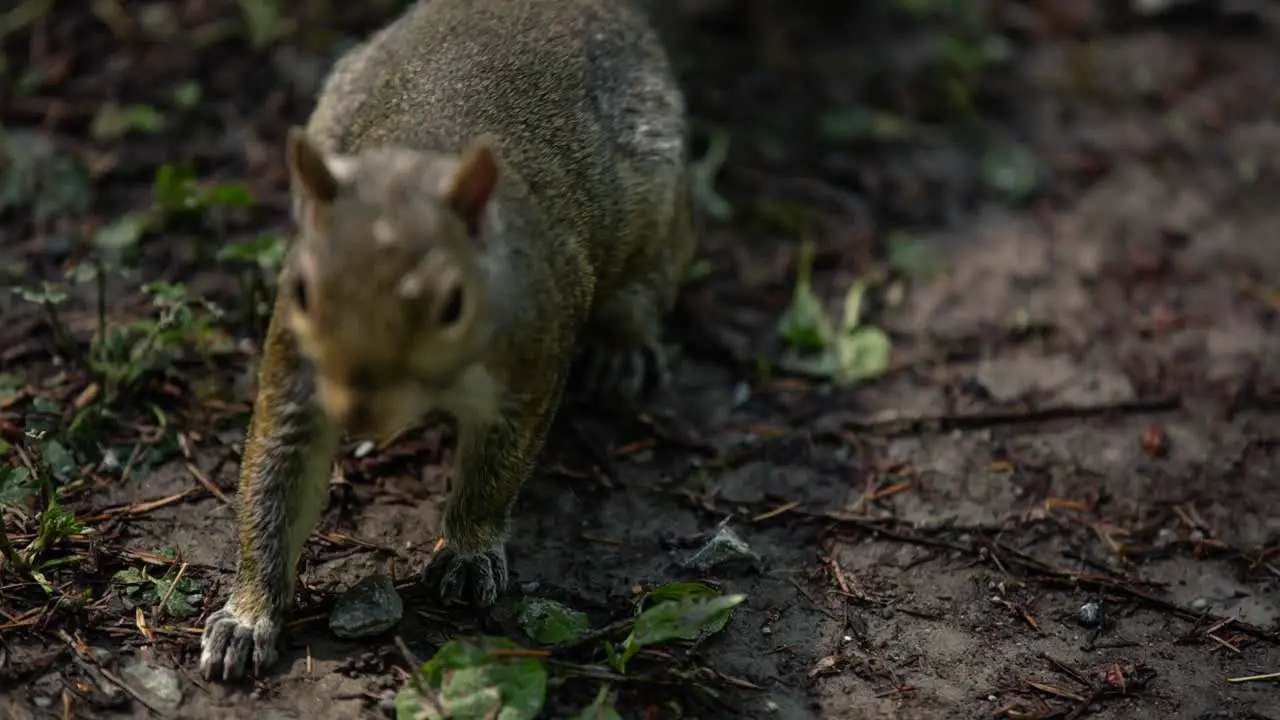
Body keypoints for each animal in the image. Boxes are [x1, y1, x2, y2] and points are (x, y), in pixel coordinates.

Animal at [198, 0, 696, 676]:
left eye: (452, 301)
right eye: (301, 288)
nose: (359, 413)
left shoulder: (529, 362)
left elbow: (495, 471)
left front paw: (467, 550)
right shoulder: (295, 368)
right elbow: (273, 478)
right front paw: (247, 615)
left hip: (653, 192)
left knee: (655, 271)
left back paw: (624, 348)